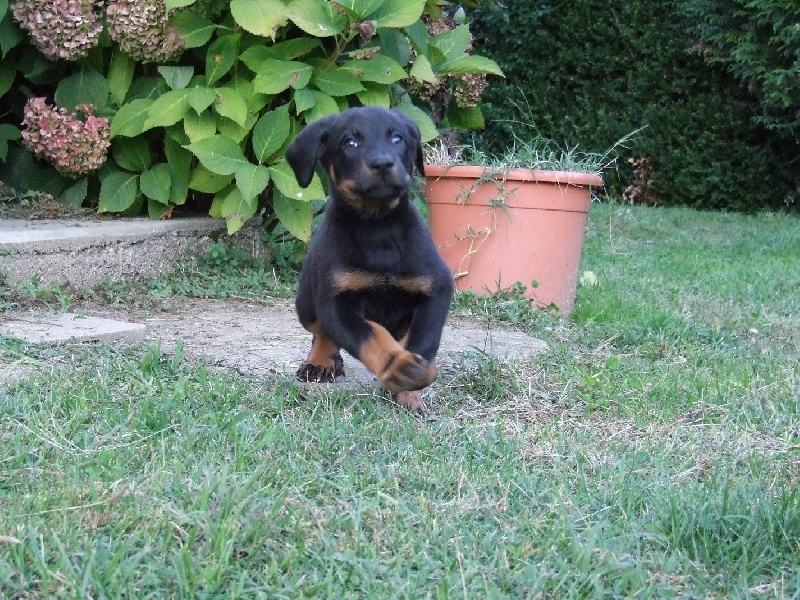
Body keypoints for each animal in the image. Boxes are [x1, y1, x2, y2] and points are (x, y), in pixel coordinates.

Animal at [284, 105, 454, 412]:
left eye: (397, 139)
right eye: (350, 142)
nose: (383, 164)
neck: (378, 227)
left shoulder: (437, 288)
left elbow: (423, 340)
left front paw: (410, 387)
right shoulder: (335, 302)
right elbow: (370, 335)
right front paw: (398, 366)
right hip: (306, 303)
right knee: (322, 332)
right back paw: (320, 362)